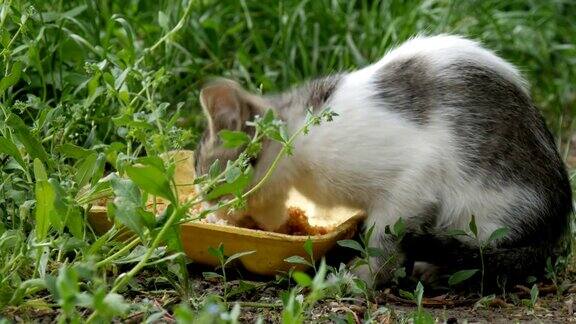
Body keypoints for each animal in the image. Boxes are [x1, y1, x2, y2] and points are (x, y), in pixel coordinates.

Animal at [195, 33, 572, 286]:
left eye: (210, 183)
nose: (206, 208)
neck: (298, 139)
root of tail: (554, 228)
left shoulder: (413, 180)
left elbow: (385, 238)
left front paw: (360, 277)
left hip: (486, 210)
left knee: (479, 252)